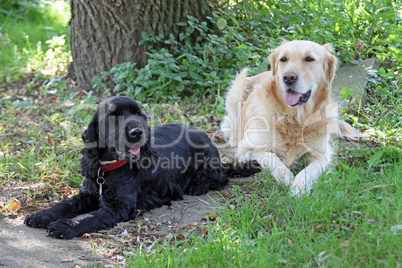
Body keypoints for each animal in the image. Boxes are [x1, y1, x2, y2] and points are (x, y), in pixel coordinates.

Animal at [25, 96, 260, 239]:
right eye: (113, 116)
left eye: (138, 114)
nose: (137, 132)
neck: (108, 169)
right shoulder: (86, 195)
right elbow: (64, 205)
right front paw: (41, 215)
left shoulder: (119, 207)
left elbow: (89, 217)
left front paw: (64, 226)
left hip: (208, 164)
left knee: (220, 177)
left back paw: (199, 185)